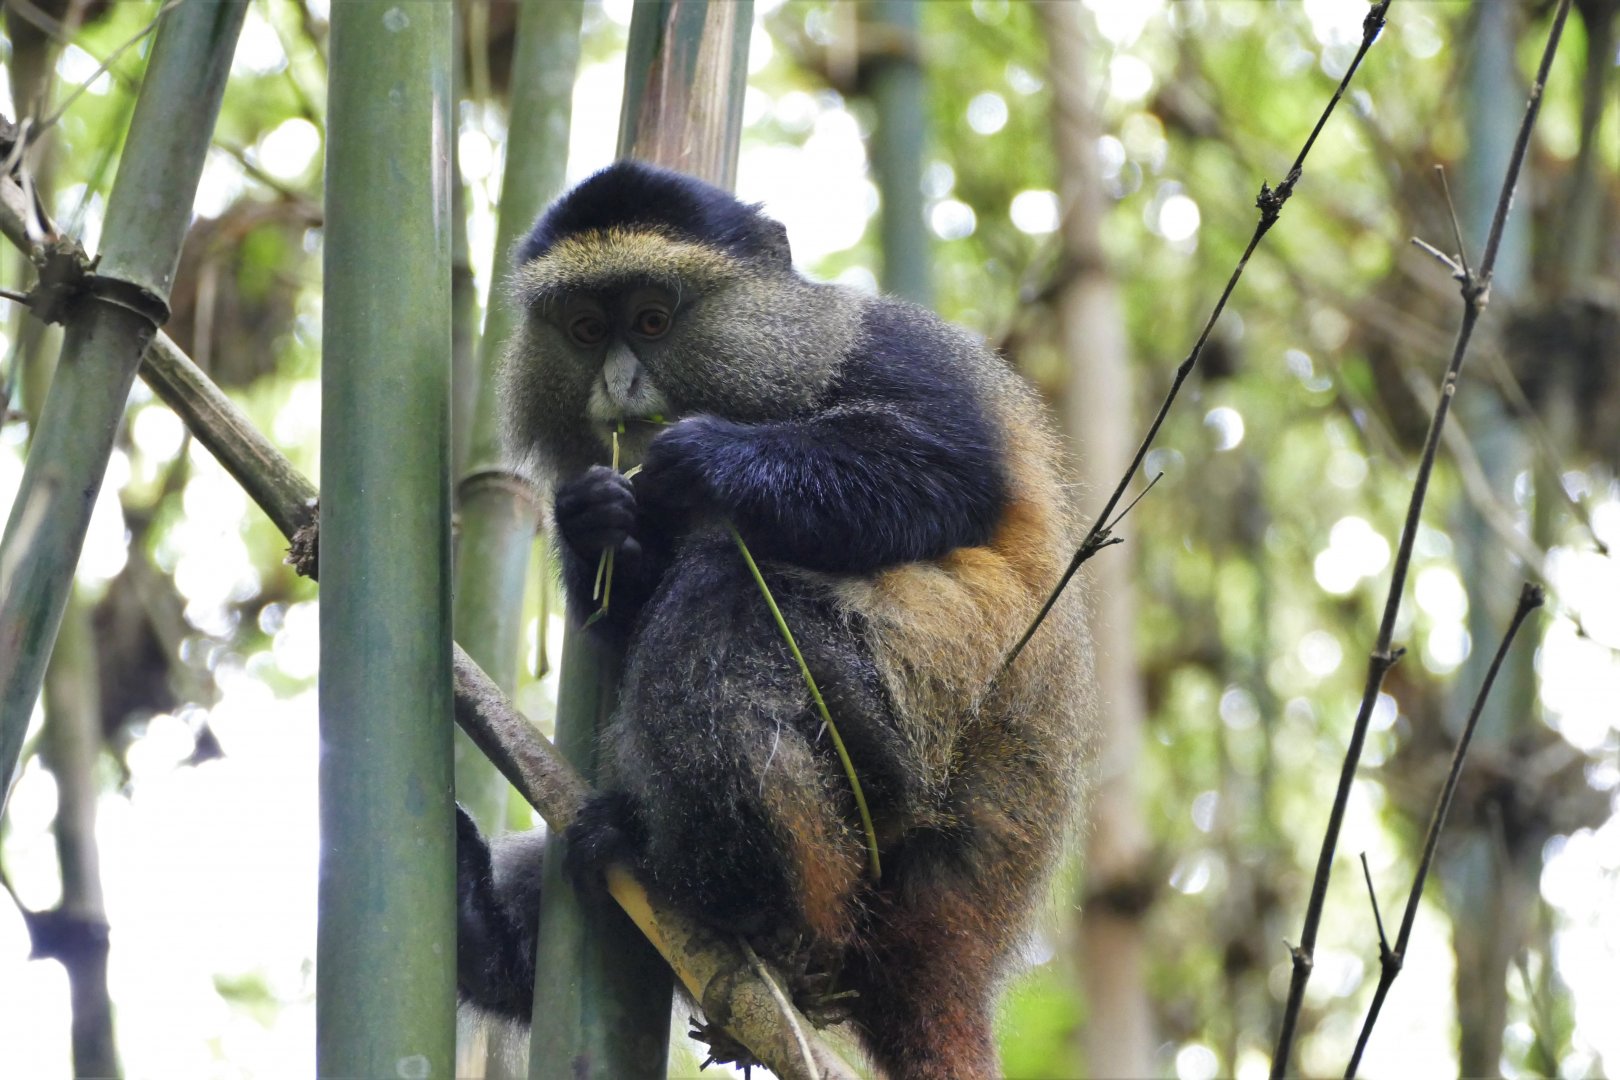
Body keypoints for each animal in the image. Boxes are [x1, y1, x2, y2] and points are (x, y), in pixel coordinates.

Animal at [456, 160, 1093, 1080]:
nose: (619, 389)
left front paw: (703, 456)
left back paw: (737, 901)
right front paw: (592, 519)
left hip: (899, 769)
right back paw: (487, 930)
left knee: (726, 596)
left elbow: (945, 472)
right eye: (583, 328)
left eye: (653, 320)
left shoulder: (894, 349)